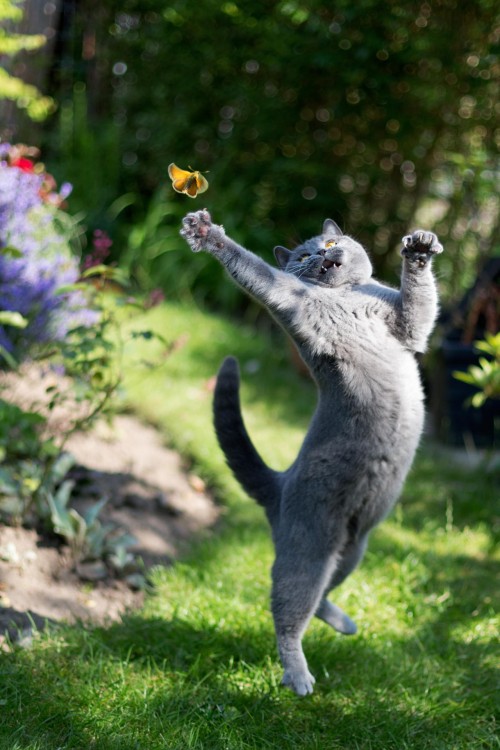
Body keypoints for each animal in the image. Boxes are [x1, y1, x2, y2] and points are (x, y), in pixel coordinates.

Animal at [179, 209, 442, 696]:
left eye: (329, 244)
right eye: (303, 256)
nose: (323, 253)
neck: (346, 297)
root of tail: (279, 484)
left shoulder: (405, 325)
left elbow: (420, 303)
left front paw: (419, 247)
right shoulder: (288, 298)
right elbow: (256, 270)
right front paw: (207, 234)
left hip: (353, 547)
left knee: (319, 598)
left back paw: (344, 624)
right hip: (309, 549)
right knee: (288, 611)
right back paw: (298, 677)